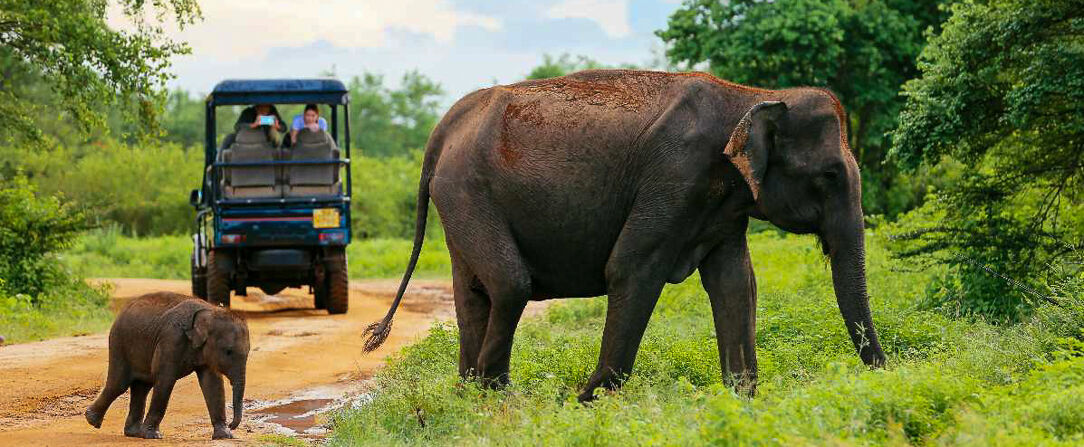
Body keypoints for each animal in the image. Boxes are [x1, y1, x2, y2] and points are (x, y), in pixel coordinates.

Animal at [84, 290, 249, 440]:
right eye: (228, 351)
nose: (232, 425)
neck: (211, 312)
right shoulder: (171, 339)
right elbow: (165, 379)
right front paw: (153, 436)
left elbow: (212, 384)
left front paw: (224, 436)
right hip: (119, 342)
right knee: (119, 384)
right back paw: (92, 420)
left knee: (142, 386)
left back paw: (134, 433)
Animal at [366, 69, 888, 401]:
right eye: (829, 176)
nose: (885, 374)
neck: (752, 95)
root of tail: (443, 127)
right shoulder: (675, 176)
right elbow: (632, 268)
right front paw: (585, 400)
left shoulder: (722, 203)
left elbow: (736, 284)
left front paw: (741, 400)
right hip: (467, 192)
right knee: (510, 286)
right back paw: (494, 395)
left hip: (458, 198)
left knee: (474, 292)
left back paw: (469, 394)